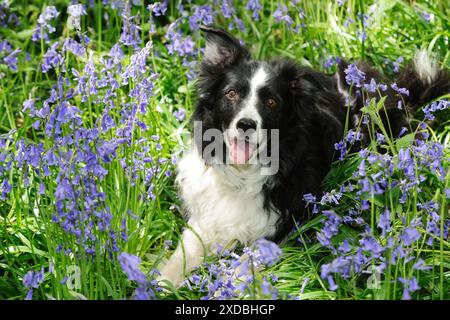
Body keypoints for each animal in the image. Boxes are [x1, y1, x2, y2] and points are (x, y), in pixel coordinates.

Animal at [159, 26, 450, 286]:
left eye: (272, 102)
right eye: (231, 94)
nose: (246, 125)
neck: (243, 176)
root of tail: (394, 92)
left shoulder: (289, 220)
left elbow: (241, 268)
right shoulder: (207, 217)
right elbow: (181, 256)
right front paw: (158, 283)